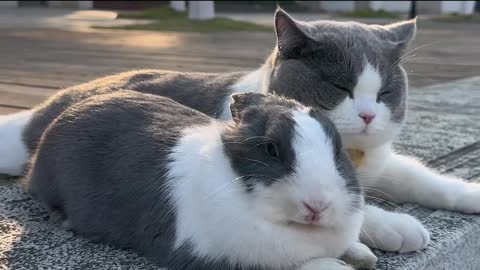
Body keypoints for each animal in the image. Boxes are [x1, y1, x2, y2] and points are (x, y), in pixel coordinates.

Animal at [1, 8, 478, 253]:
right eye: (339, 87)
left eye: (385, 93)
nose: (366, 116)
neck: (358, 155)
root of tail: (46, 109)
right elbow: (350, 204)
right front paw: (396, 226)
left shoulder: (381, 162)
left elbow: (419, 176)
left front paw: (468, 194)